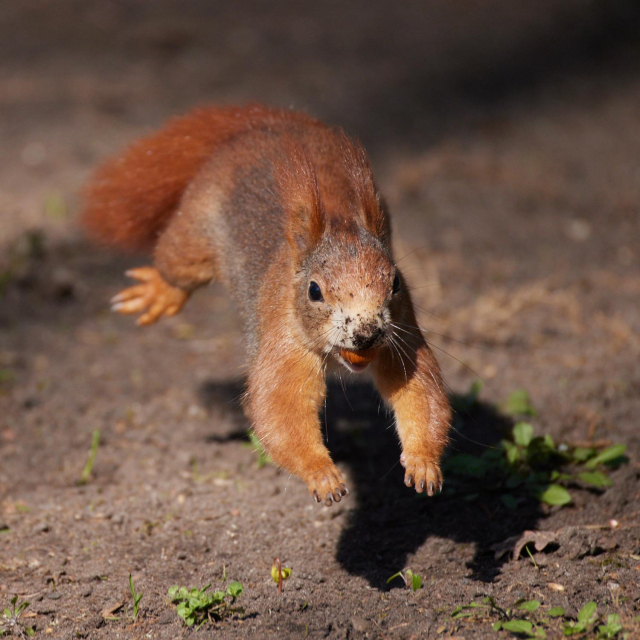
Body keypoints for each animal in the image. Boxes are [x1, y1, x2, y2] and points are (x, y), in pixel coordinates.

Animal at [82, 104, 451, 507]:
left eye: (395, 282)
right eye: (314, 291)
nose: (366, 333)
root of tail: (265, 126)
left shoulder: (402, 334)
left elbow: (420, 391)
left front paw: (423, 462)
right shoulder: (283, 340)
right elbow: (280, 406)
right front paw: (321, 473)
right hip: (194, 231)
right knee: (176, 264)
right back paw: (158, 292)